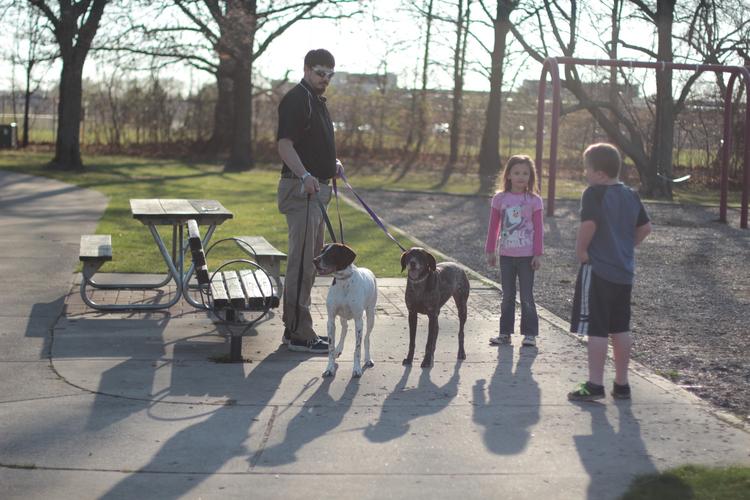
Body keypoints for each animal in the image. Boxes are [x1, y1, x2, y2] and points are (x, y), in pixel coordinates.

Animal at [314, 243, 378, 378]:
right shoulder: (331, 320)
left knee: (366, 338)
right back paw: (339, 348)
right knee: (344, 329)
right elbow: (331, 347)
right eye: (321, 251)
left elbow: (357, 349)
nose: (315, 260)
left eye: (332, 253)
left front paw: (357, 369)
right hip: (342, 317)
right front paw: (329, 368)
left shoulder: (359, 321)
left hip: (370, 316)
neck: (344, 281)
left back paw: (368, 359)